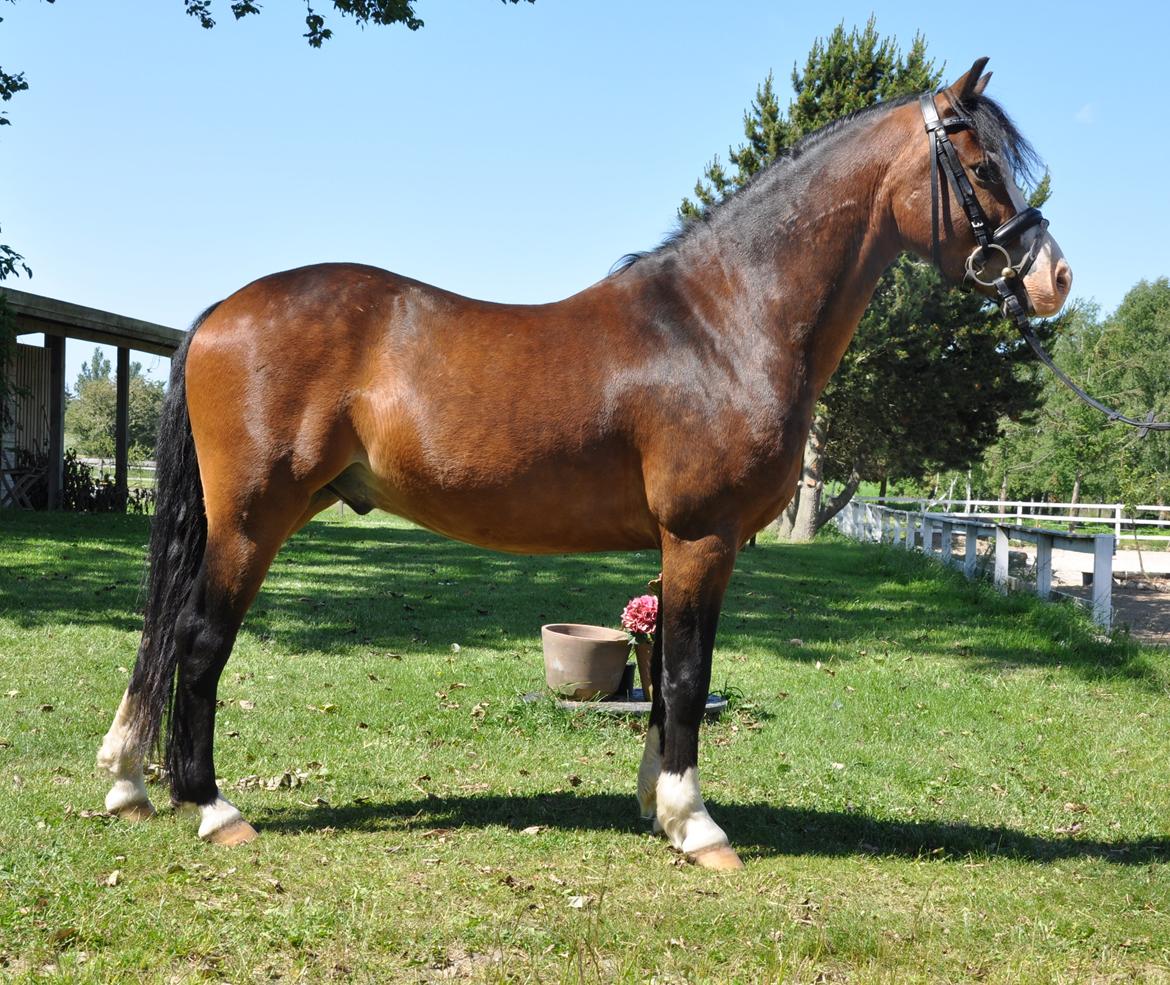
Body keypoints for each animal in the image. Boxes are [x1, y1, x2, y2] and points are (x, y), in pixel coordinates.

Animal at [97, 59, 1071, 870]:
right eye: (982, 168)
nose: (1053, 278)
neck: (723, 323)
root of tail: (223, 311)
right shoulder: (702, 536)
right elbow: (685, 675)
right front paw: (697, 826)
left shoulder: (680, 546)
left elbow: (672, 673)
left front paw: (657, 805)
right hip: (251, 520)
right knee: (199, 640)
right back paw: (213, 808)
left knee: (166, 636)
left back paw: (131, 781)